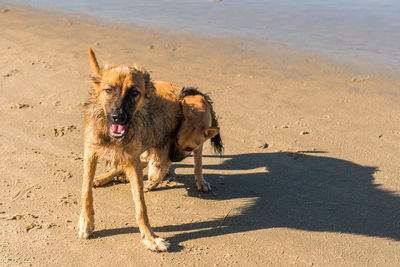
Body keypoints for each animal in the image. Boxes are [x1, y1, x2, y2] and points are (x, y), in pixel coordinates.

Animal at [76, 49, 180, 252]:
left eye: (134, 93)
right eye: (109, 90)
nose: (119, 117)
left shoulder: (133, 160)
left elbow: (141, 204)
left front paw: (150, 236)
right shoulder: (90, 152)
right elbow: (86, 190)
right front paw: (86, 222)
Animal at [95, 87, 223, 194]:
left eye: (188, 148)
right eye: (176, 139)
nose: (172, 158)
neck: (199, 113)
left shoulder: (197, 147)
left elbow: (198, 164)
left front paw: (201, 182)